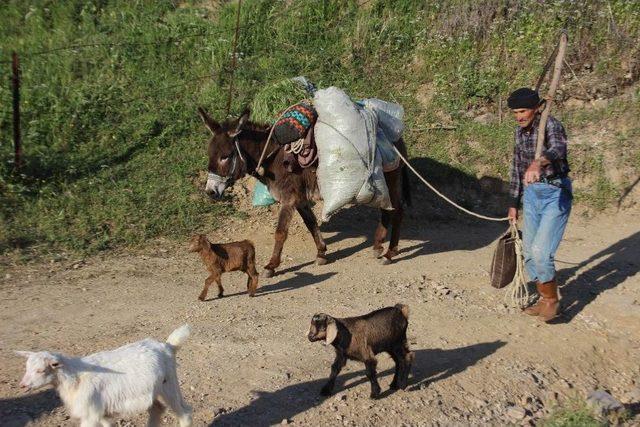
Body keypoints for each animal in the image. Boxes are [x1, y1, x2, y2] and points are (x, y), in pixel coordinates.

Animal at [16, 326, 192, 426]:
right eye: (27, 368)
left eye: (40, 370)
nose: (23, 385)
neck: (74, 378)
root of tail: (168, 345)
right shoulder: (97, 412)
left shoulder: (89, 414)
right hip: (153, 391)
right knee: (158, 409)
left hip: (169, 385)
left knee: (184, 413)